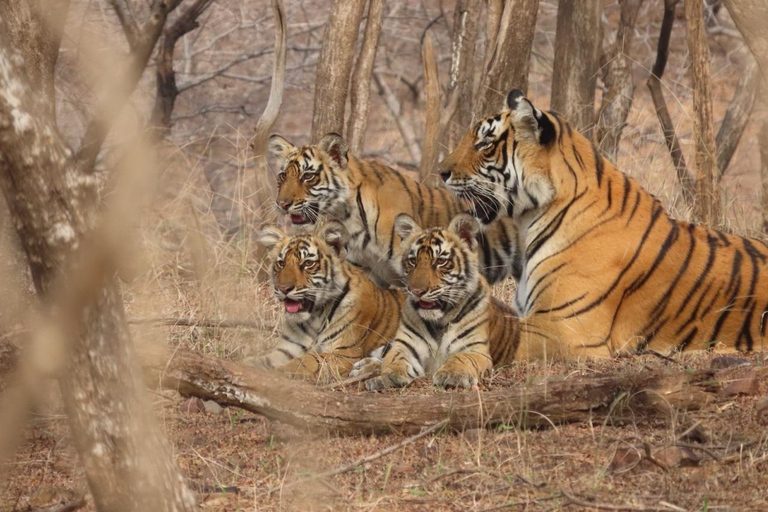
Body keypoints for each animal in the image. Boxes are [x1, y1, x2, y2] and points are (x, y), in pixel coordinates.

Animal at [248, 219, 404, 380]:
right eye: (281, 264)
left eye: (308, 264)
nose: (283, 288)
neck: (314, 317)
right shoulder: (286, 350)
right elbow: (261, 359)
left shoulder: (343, 353)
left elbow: (305, 361)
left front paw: (278, 372)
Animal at [352, 214, 520, 390]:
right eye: (413, 261)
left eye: (440, 261)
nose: (417, 291)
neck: (440, 322)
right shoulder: (405, 346)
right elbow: (394, 359)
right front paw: (388, 376)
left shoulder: (475, 349)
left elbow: (461, 358)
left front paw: (451, 374)